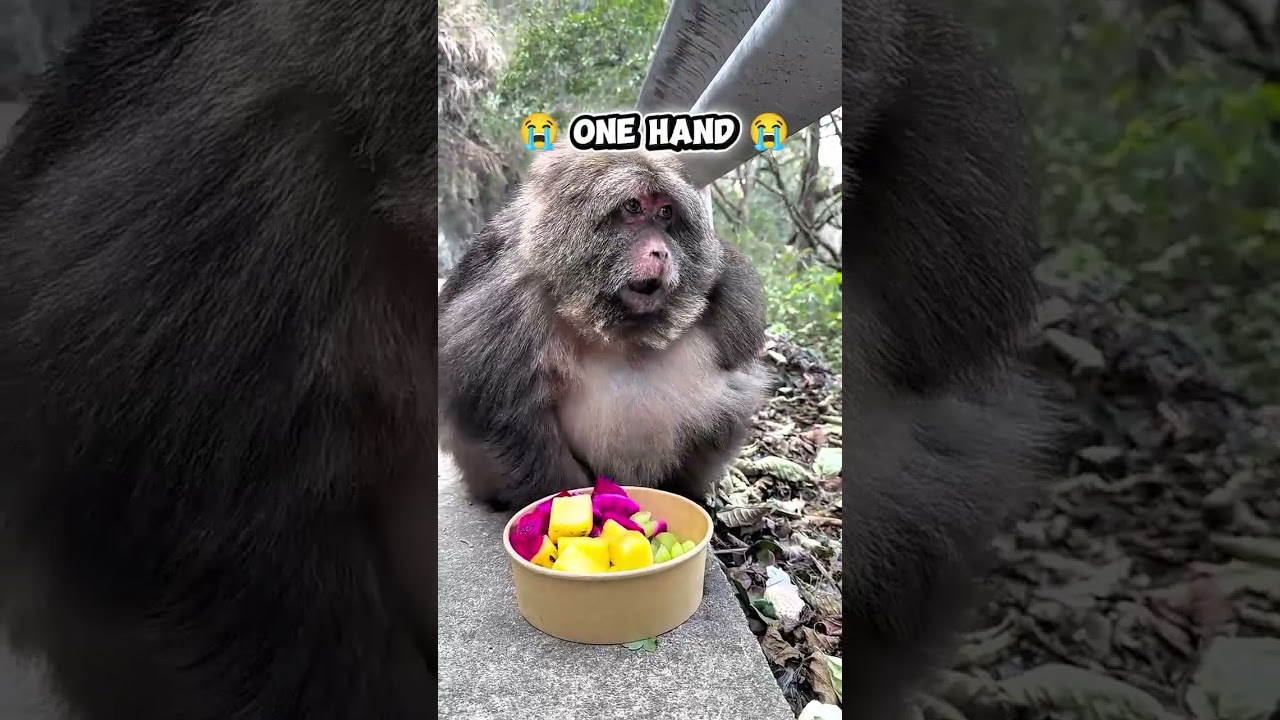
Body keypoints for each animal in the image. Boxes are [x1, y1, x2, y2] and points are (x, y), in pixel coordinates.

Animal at [438, 148, 771, 513]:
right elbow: (497, 408)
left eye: (666, 212)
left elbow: (737, 380)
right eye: (633, 207)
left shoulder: (726, 286)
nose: (661, 251)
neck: (616, 324)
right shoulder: (507, 299)